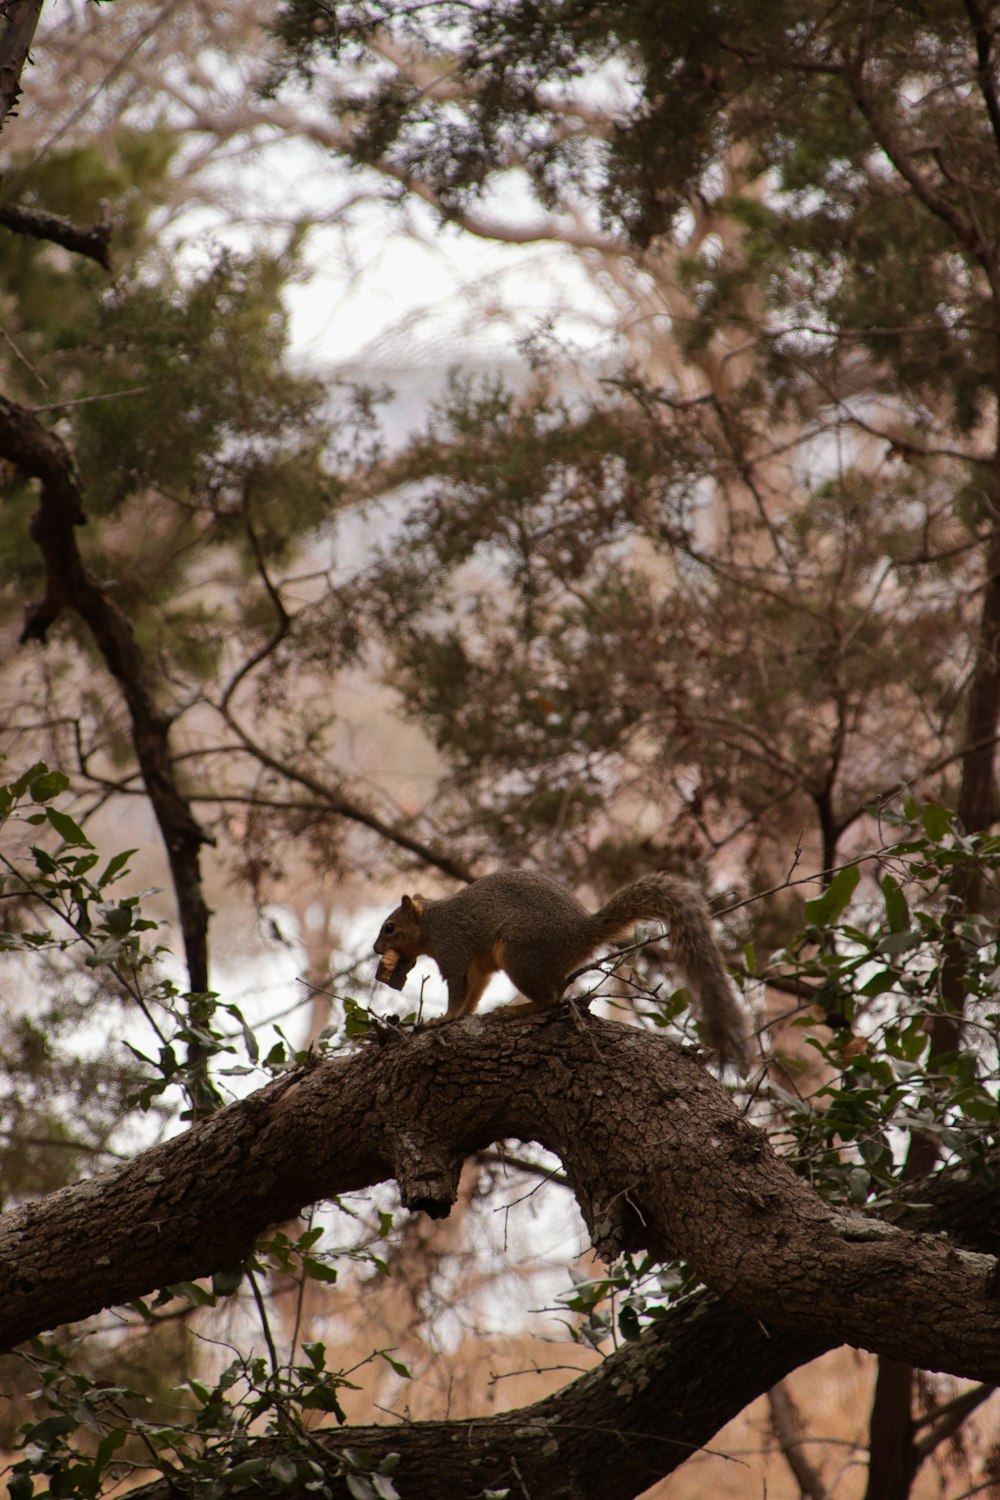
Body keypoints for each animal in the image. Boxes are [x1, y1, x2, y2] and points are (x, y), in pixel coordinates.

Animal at [374, 876, 749, 1074]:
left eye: (389, 927)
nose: (377, 949)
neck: (431, 924)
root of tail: (580, 935)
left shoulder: (453, 950)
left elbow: (457, 990)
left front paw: (444, 1019)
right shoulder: (478, 968)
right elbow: (474, 992)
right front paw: (461, 1016)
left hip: (519, 952)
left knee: (550, 999)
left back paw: (517, 1009)